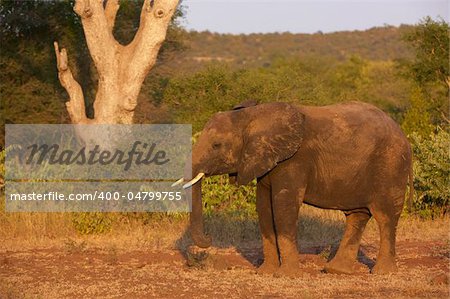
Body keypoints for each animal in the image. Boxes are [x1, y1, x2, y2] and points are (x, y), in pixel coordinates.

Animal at [175, 101, 412, 276]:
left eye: (217, 145)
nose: (209, 239)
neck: (253, 115)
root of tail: (403, 134)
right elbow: (264, 209)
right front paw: (265, 273)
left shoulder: (294, 160)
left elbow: (284, 207)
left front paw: (286, 275)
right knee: (357, 216)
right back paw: (336, 271)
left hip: (391, 166)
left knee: (385, 216)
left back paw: (382, 272)